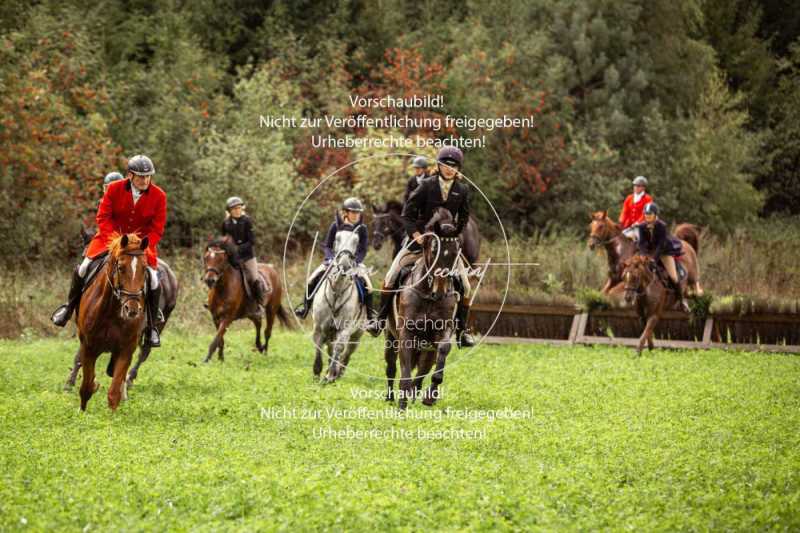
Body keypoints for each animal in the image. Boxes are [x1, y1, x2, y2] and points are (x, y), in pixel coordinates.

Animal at [76, 231, 150, 410]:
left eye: (144, 269)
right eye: (121, 268)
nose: (132, 309)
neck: (110, 311)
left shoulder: (126, 350)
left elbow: (114, 392)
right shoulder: (88, 347)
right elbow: (86, 388)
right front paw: (81, 412)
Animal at [384, 207, 460, 408]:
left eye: (456, 252)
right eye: (434, 250)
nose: (440, 292)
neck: (428, 295)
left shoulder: (442, 330)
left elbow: (443, 350)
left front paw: (430, 396)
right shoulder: (406, 333)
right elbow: (404, 373)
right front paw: (401, 405)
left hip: (427, 350)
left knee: (422, 371)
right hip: (390, 339)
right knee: (391, 367)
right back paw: (391, 398)